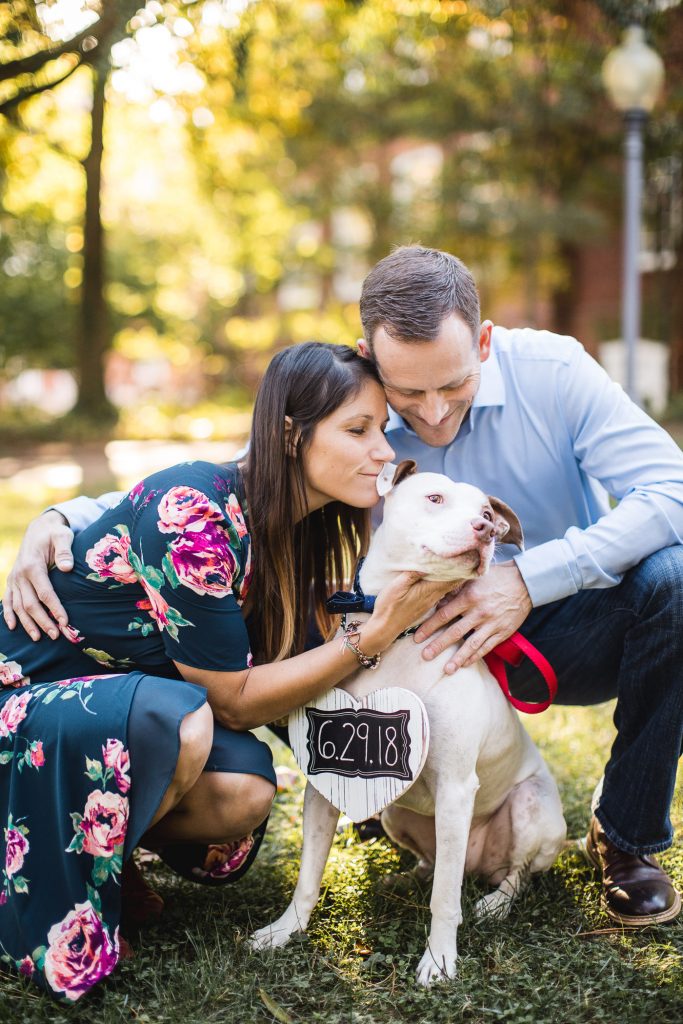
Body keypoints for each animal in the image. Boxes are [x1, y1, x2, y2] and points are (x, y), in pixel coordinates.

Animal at [250, 464, 565, 983]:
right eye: (434, 498)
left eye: (486, 512)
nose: (484, 529)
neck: (397, 639)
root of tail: (478, 865)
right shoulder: (324, 784)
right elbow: (309, 873)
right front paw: (284, 930)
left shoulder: (456, 787)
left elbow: (445, 902)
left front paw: (438, 960)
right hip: (397, 814)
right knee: (437, 865)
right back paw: (406, 876)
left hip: (530, 806)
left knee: (508, 876)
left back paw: (495, 903)